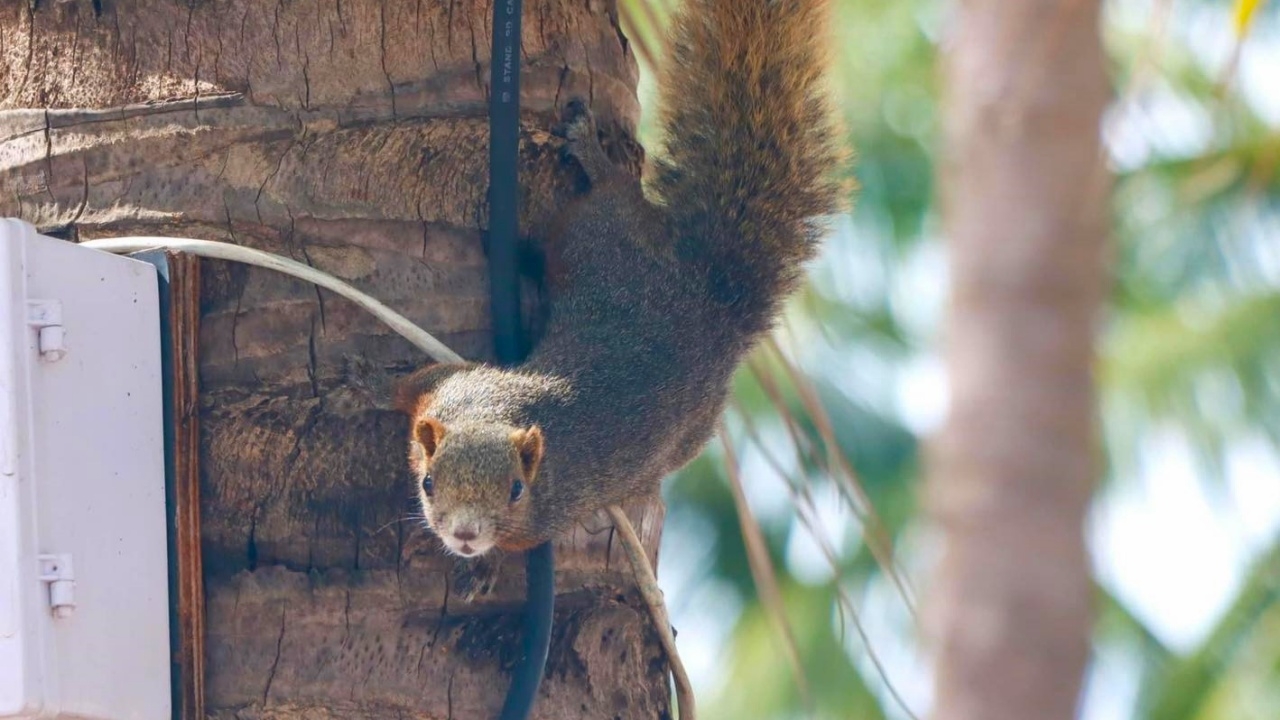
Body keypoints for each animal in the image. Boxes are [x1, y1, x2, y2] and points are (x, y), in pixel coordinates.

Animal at [394, 0, 844, 558]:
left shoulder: (542, 516)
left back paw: (588, 152)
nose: (466, 536)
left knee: (613, 187)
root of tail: (712, 306)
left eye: (516, 490)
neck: (495, 413)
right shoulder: (454, 386)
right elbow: (413, 388)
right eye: (429, 482)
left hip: (597, 228)